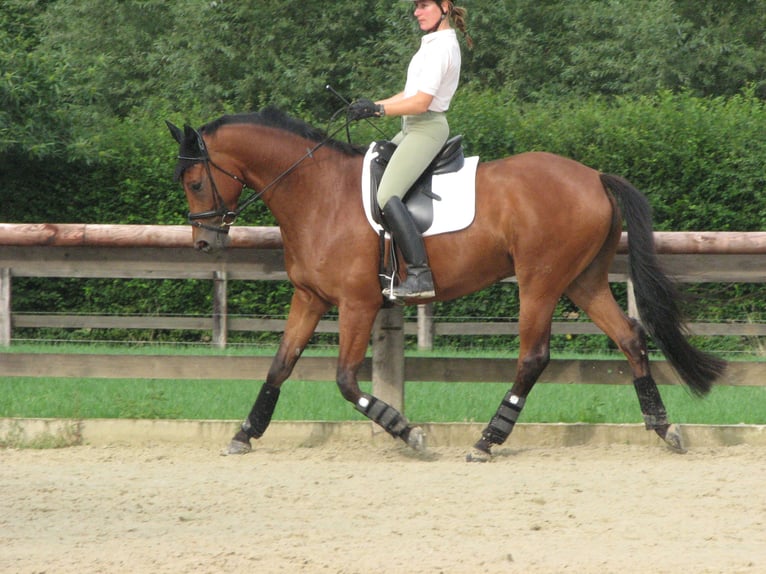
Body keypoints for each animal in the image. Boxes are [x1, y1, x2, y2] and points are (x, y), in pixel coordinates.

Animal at [166, 106, 728, 462]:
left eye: (194, 182)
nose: (204, 243)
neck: (316, 192)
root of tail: (594, 176)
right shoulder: (311, 298)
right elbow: (280, 366)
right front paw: (244, 434)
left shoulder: (356, 303)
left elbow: (346, 381)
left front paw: (407, 432)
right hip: (582, 281)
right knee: (630, 337)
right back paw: (663, 426)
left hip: (540, 281)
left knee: (533, 357)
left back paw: (486, 441)